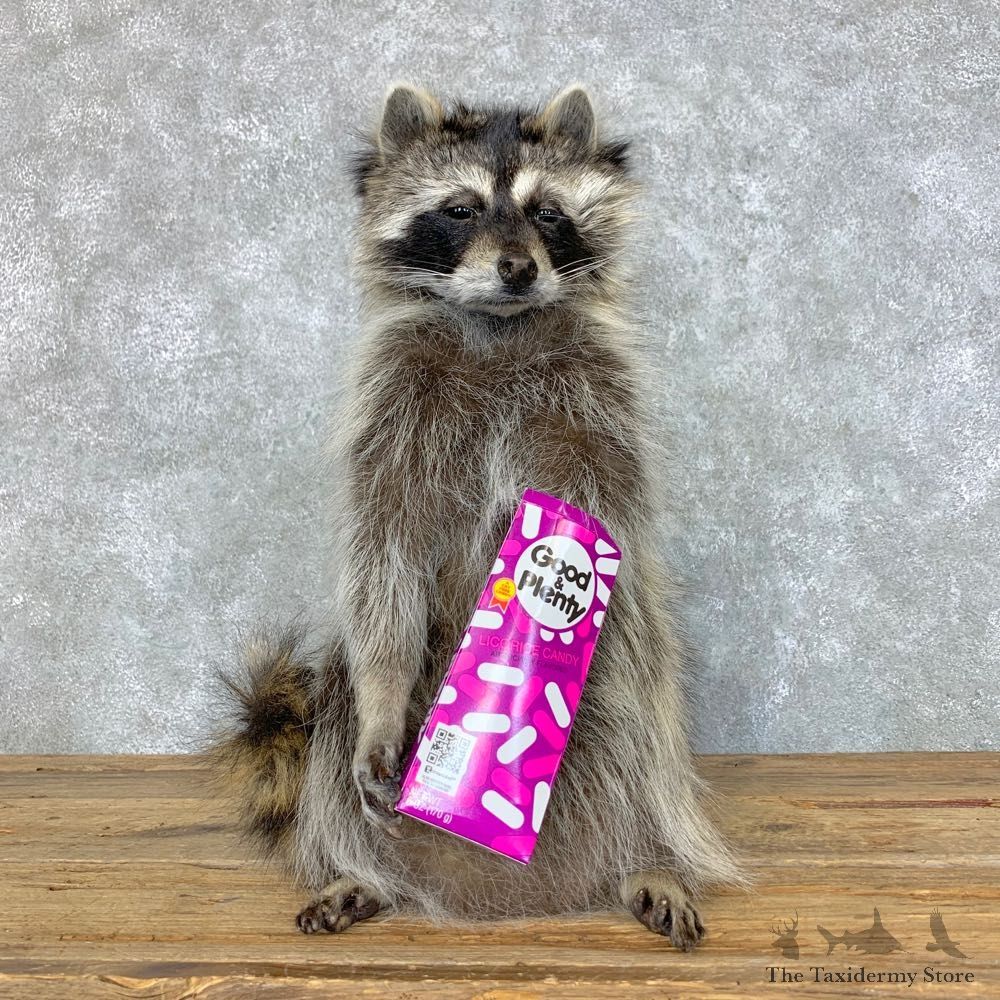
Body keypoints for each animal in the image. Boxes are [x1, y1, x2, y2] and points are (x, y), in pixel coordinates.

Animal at [210, 84, 747, 949]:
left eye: (548, 212)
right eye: (460, 209)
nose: (518, 267)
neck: (497, 325)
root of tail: (498, 898)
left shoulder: (603, 408)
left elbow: (617, 539)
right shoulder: (390, 408)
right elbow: (383, 555)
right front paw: (385, 702)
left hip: (634, 704)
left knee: (647, 722)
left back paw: (651, 856)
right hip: (335, 714)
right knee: (333, 728)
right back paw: (361, 870)